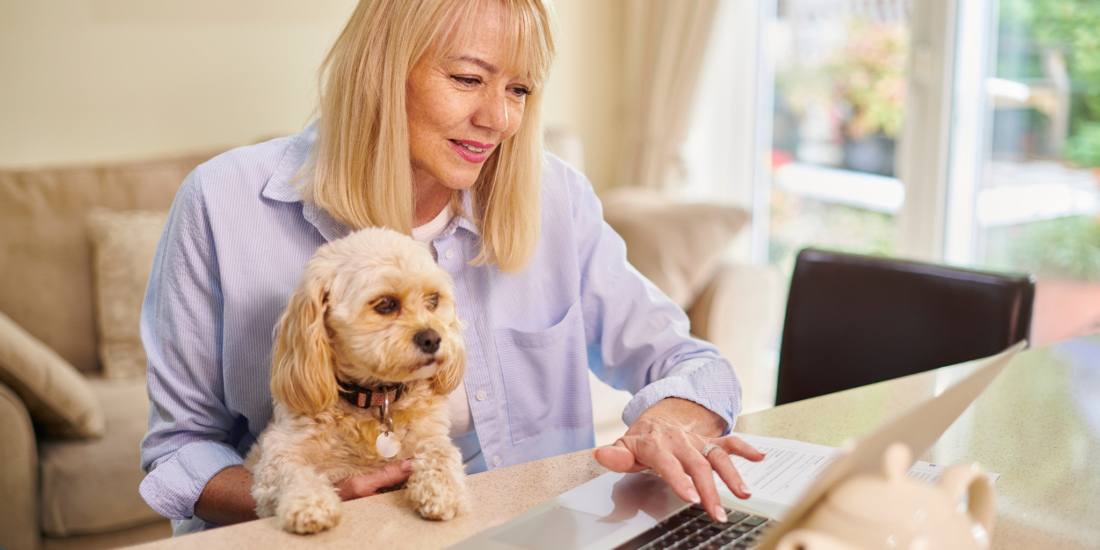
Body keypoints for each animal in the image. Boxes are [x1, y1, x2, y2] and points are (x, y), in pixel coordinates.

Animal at [245, 226, 468, 532]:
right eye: (385, 304)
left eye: (433, 300)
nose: (433, 338)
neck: (375, 398)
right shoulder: (276, 457)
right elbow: (294, 472)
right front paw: (309, 502)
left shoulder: (429, 437)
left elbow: (441, 454)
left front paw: (441, 490)